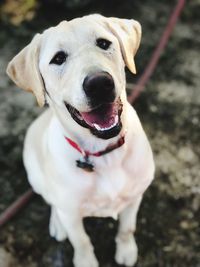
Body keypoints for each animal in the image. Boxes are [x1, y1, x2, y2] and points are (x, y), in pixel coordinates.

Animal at [6, 14, 155, 267]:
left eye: (104, 43)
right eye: (58, 58)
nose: (99, 83)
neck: (103, 152)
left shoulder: (135, 196)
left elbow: (127, 228)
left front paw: (126, 250)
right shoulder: (72, 214)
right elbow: (81, 241)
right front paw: (86, 261)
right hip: (36, 177)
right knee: (52, 202)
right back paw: (57, 224)